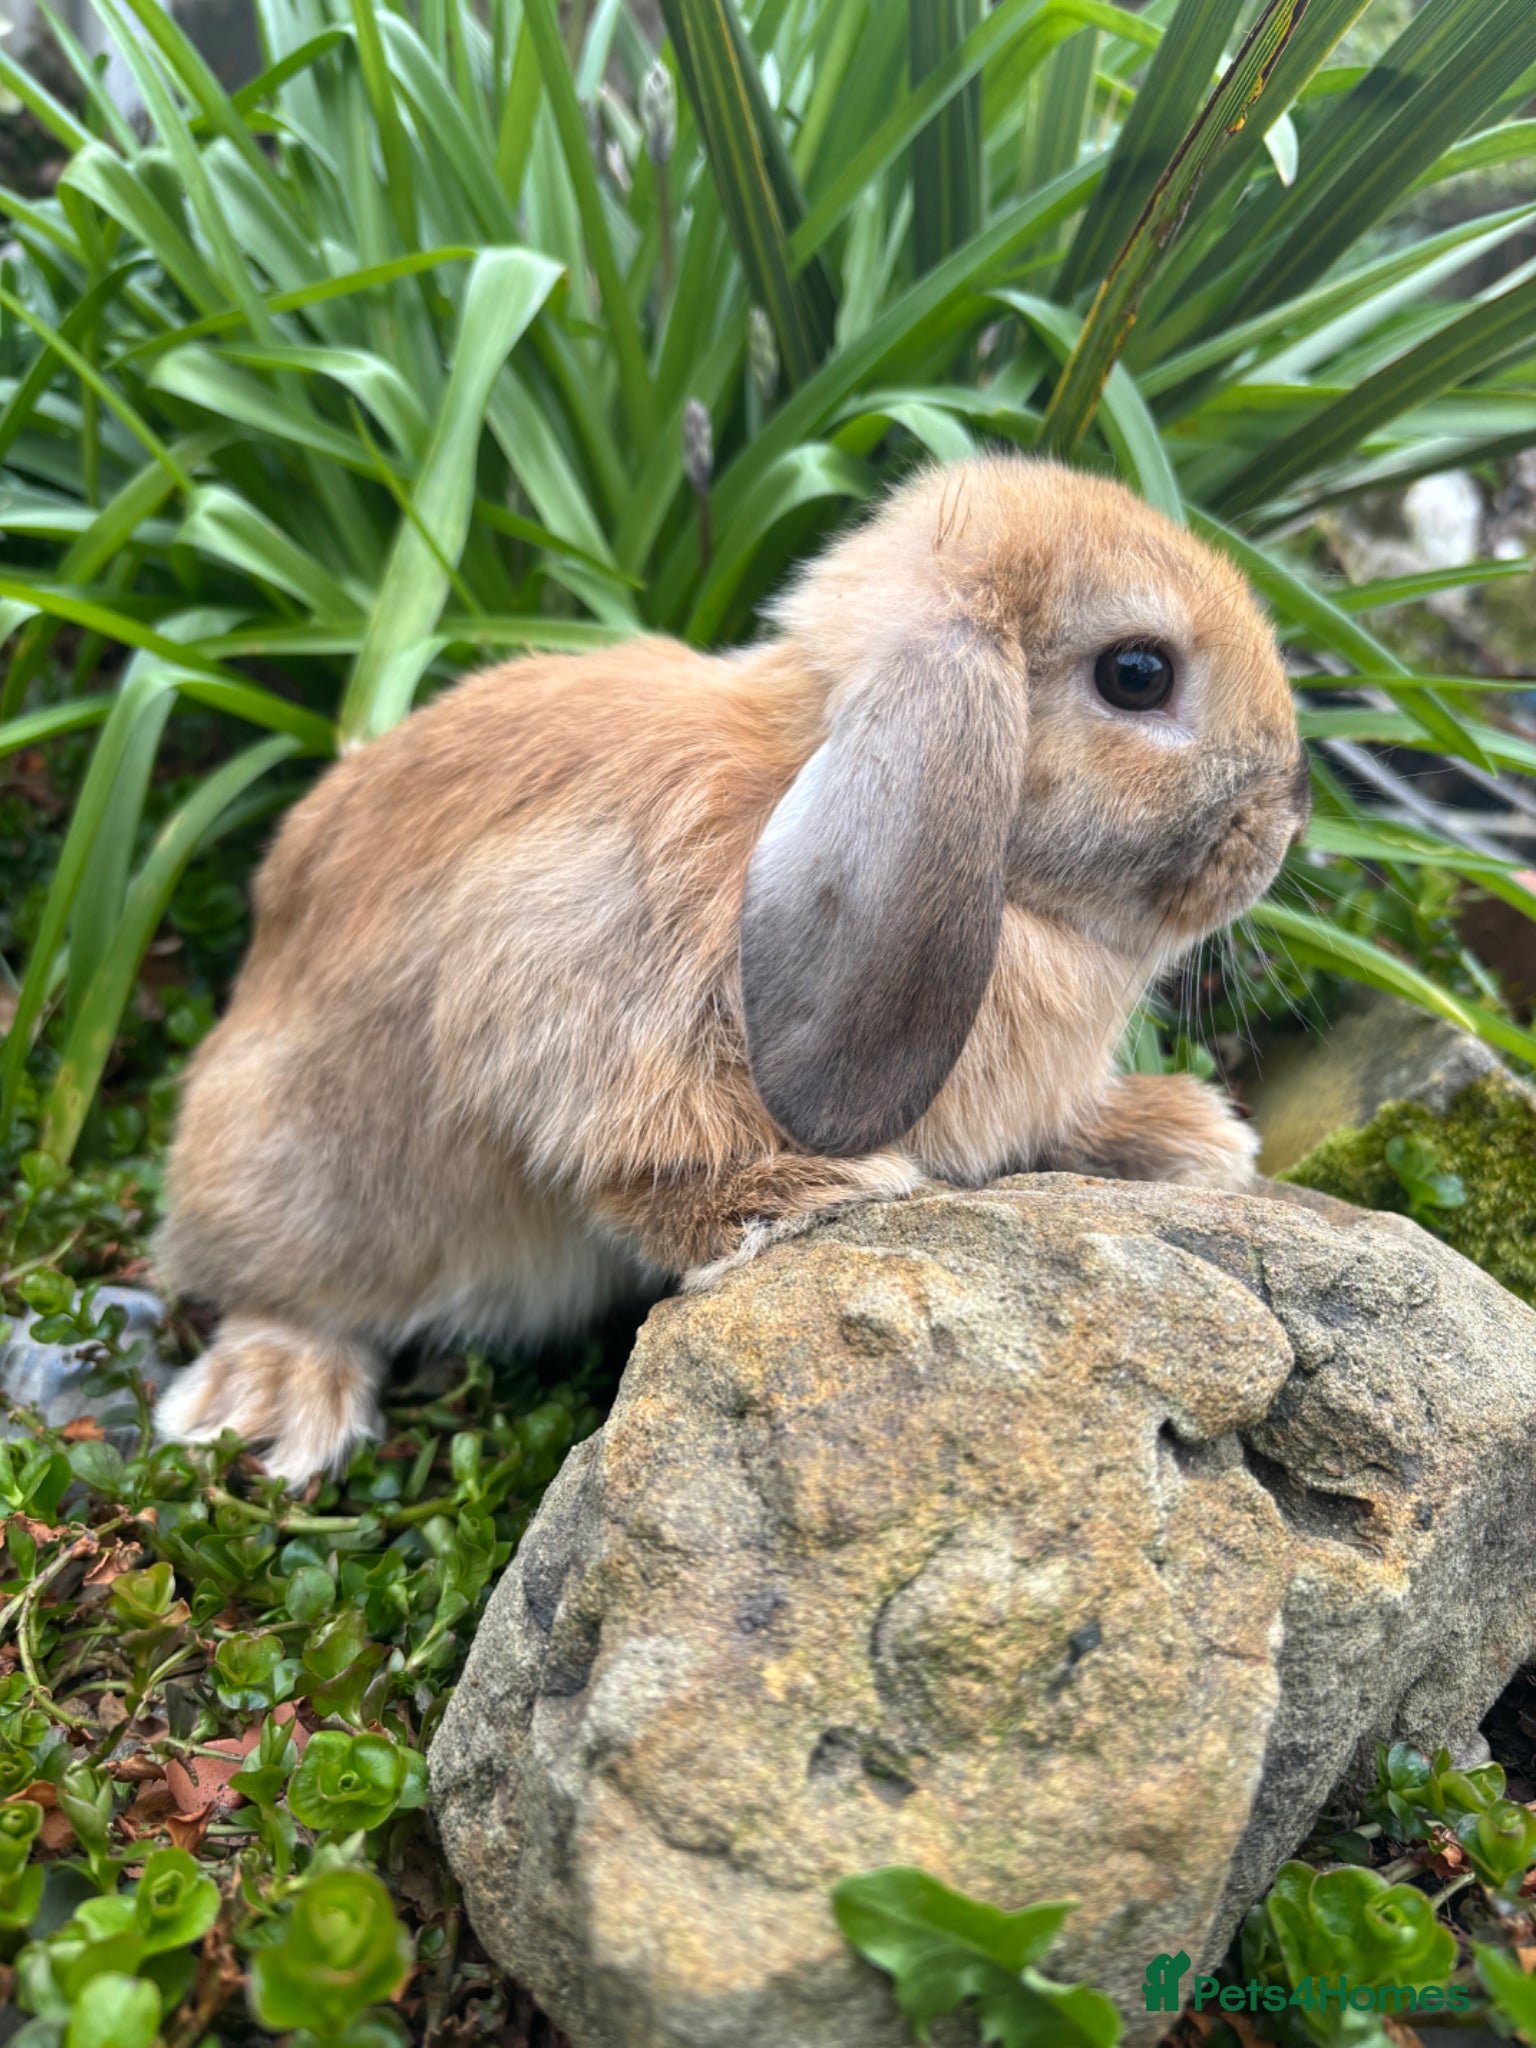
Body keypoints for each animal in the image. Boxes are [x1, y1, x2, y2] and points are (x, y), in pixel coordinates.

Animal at [154, 453, 1311, 1483]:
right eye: (1137, 672)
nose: (1292, 810)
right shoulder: (586, 996)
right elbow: (647, 1169)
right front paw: (812, 1196)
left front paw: (1189, 1140)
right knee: (285, 1289)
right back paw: (270, 1406)